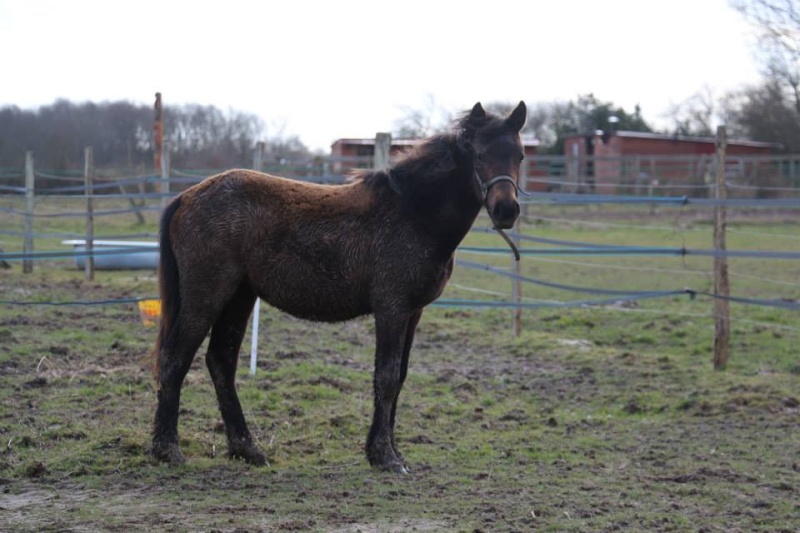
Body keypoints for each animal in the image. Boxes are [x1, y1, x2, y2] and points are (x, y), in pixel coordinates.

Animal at [152, 102, 528, 472]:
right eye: (479, 154)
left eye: (520, 155)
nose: (506, 209)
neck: (412, 213)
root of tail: (186, 197)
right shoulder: (391, 309)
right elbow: (386, 376)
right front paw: (385, 456)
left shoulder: (413, 313)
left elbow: (400, 376)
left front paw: (389, 452)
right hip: (207, 297)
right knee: (176, 358)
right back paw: (167, 449)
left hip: (238, 298)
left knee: (221, 362)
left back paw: (247, 449)